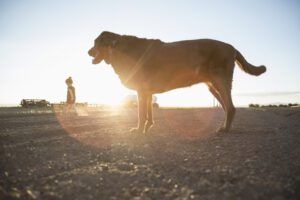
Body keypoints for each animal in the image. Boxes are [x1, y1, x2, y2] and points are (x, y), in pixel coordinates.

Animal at [88, 31, 266, 133]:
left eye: (96, 42)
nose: (88, 51)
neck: (119, 49)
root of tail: (232, 47)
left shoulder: (141, 91)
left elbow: (141, 114)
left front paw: (139, 130)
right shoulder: (147, 92)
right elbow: (149, 113)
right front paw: (148, 127)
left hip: (220, 80)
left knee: (231, 107)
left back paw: (225, 129)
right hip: (213, 86)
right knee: (227, 107)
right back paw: (225, 127)